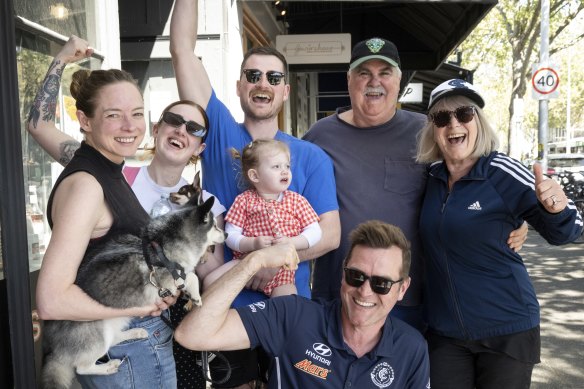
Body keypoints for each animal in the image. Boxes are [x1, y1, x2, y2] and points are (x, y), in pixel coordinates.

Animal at [40, 197, 226, 388]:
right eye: (215, 226)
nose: (226, 235)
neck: (160, 246)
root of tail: (54, 349)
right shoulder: (165, 279)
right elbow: (191, 277)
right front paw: (196, 296)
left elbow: (190, 275)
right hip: (96, 331)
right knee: (82, 367)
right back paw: (107, 367)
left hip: (115, 321)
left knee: (114, 338)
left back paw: (135, 333)